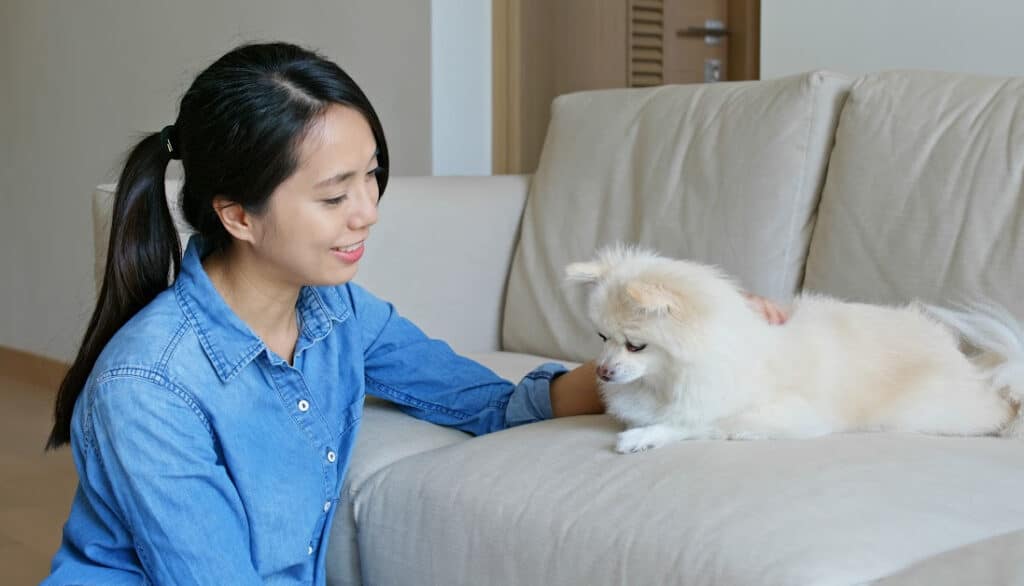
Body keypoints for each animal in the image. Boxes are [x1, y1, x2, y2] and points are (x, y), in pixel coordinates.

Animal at [565, 245, 1024, 452]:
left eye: (635, 345)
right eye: (602, 338)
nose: (602, 372)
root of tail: (972, 367)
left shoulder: (778, 415)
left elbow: (700, 422)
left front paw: (644, 435)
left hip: (923, 411)